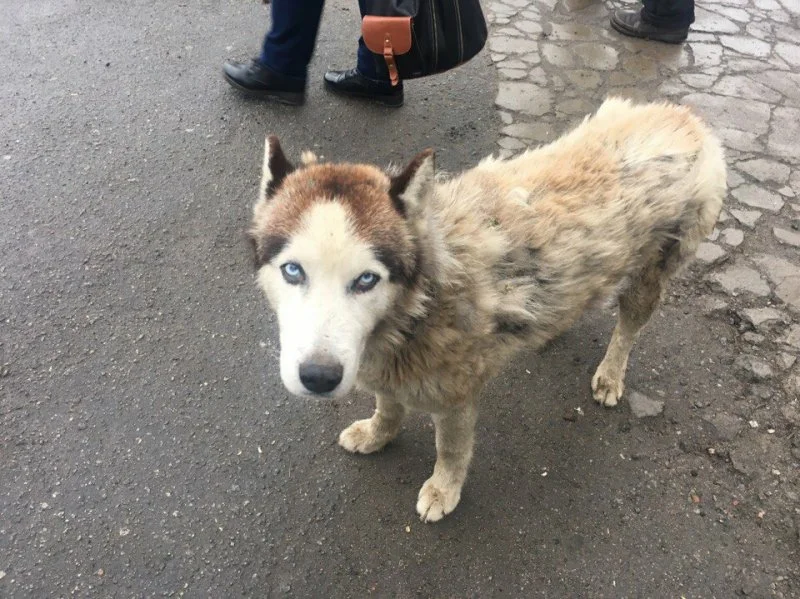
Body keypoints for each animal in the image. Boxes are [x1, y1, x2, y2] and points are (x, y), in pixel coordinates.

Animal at [248, 98, 724, 520]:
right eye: (293, 270)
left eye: (366, 279)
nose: (319, 377)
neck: (422, 303)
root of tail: (685, 118)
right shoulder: (391, 371)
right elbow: (388, 407)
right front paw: (376, 434)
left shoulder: (457, 394)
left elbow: (451, 450)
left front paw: (444, 489)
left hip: (652, 274)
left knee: (627, 329)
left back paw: (611, 373)